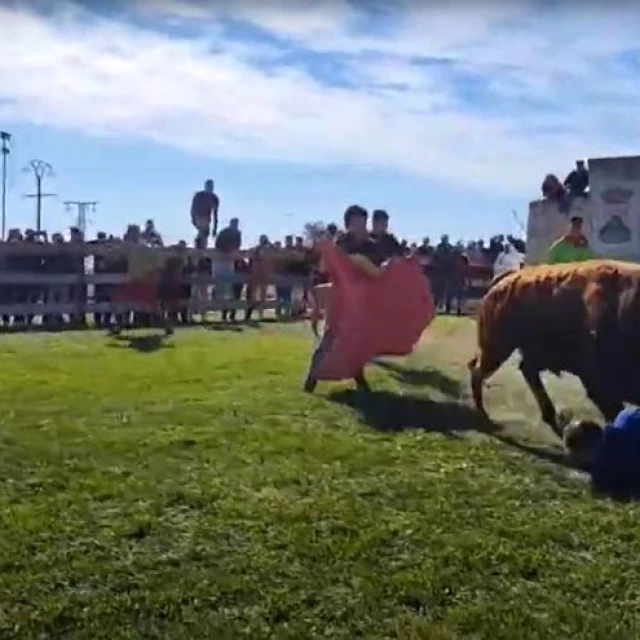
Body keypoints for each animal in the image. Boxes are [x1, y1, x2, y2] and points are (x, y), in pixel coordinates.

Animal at [468, 260, 640, 436]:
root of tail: (509, 276)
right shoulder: (599, 383)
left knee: (525, 370)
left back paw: (550, 416)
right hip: (497, 349)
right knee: (478, 370)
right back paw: (483, 414)